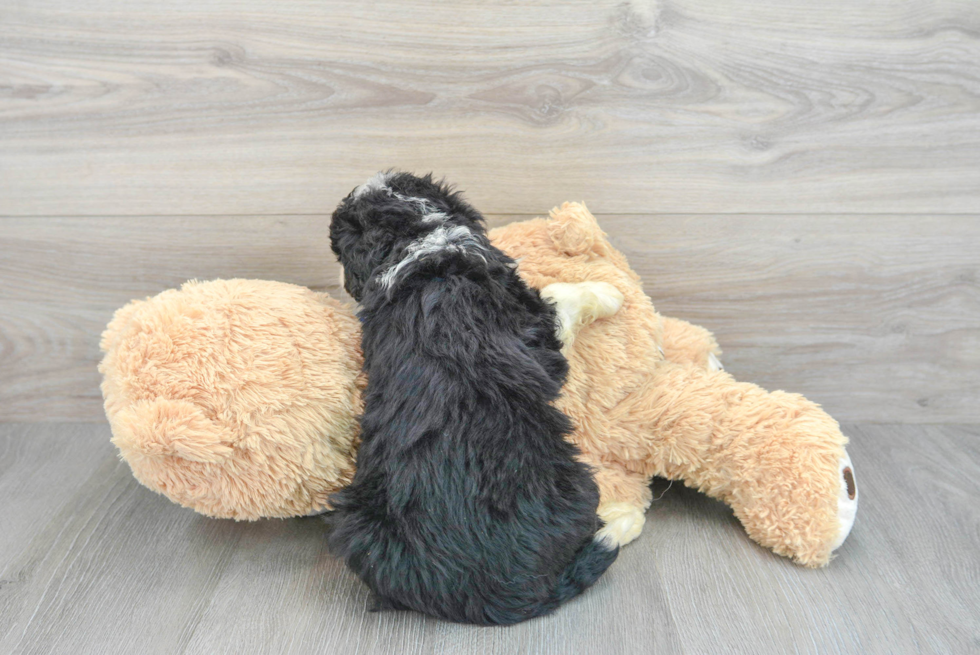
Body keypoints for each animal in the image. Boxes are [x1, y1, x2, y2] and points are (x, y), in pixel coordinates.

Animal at [330, 170, 620, 624]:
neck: (416, 239)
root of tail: (493, 601)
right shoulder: (535, 325)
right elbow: (562, 295)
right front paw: (611, 293)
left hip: (357, 525)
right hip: (576, 485)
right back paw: (619, 522)